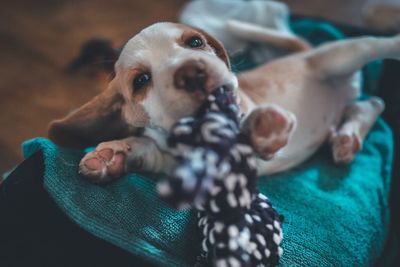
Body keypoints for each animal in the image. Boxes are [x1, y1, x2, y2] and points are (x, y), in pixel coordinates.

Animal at [48, 22, 398, 183]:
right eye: (141, 80)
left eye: (195, 42)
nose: (191, 72)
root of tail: (306, 52)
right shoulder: (174, 163)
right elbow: (144, 147)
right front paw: (112, 156)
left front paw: (261, 130)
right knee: (370, 104)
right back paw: (346, 139)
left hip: (339, 56)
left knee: (373, 46)